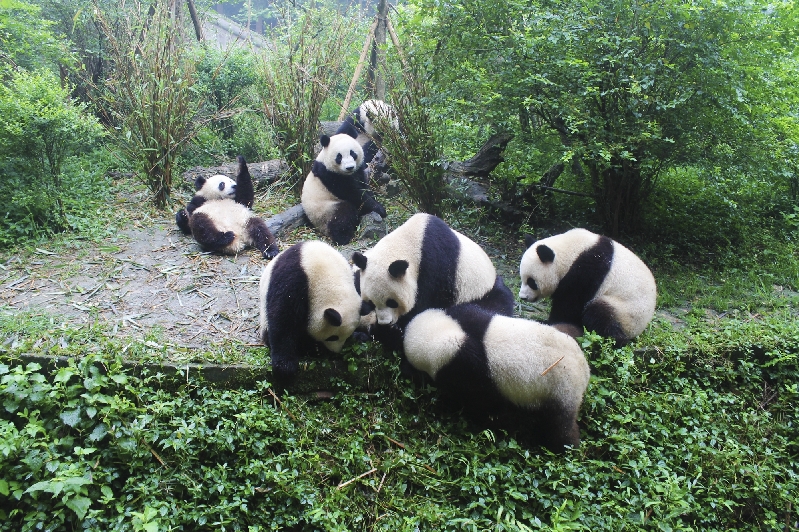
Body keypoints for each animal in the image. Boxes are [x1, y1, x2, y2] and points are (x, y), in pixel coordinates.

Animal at [259, 240, 372, 382]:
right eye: (332, 337)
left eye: (345, 336)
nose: (335, 352)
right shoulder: (294, 278)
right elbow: (283, 318)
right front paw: (285, 367)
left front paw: (356, 336)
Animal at [351, 213, 515, 351]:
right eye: (371, 302)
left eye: (392, 302)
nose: (385, 322)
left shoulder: (435, 268)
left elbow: (422, 307)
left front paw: (392, 332)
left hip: (482, 291)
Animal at [403, 303, 591, 452]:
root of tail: (584, 372)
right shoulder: (468, 315)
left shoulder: (466, 375)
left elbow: (485, 407)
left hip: (558, 391)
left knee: (559, 426)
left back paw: (567, 447)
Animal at [519, 228, 657, 346]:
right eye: (522, 278)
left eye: (531, 282)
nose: (523, 297)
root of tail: (640, 328)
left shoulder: (587, 270)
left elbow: (570, 303)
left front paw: (550, 322)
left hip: (626, 311)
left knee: (599, 314)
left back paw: (614, 340)